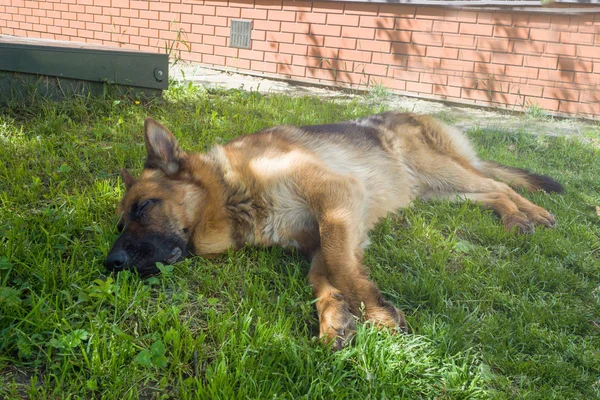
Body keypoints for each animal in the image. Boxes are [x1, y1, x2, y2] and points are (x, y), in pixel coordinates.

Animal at [106, 111, 564, 346]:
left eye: (144, 206)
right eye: (120, 222)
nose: (111, 262)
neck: (235, 188)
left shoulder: (337, 201)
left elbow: (341, 265)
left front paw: (375, 311)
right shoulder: (327, 232)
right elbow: (322, 275)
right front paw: (334, 318)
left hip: (438, 171)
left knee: (499, 185)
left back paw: (531, 214)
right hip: (433, 191)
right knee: (489, 193)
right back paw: (515, 217)